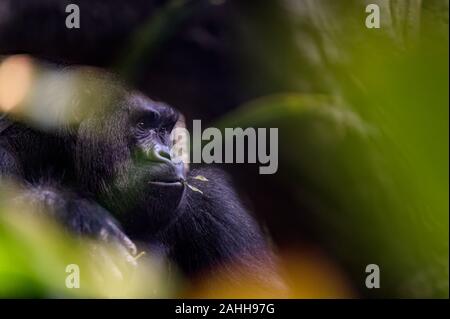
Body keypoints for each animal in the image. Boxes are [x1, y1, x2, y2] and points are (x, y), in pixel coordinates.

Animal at [0, 62, 282, 296]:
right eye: (143, 124)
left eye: (165, 128)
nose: (168, 153)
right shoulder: (5, 154)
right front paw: (72, 216)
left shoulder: (215, 201)